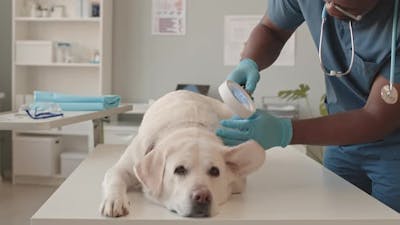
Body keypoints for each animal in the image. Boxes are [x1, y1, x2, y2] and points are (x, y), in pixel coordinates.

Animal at [99, 90, 264, 218]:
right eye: (179, 169)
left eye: (215, 171)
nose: (202, 196)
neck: (189, 125)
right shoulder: (124, 167)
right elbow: (115, 177)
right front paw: (114, 201)